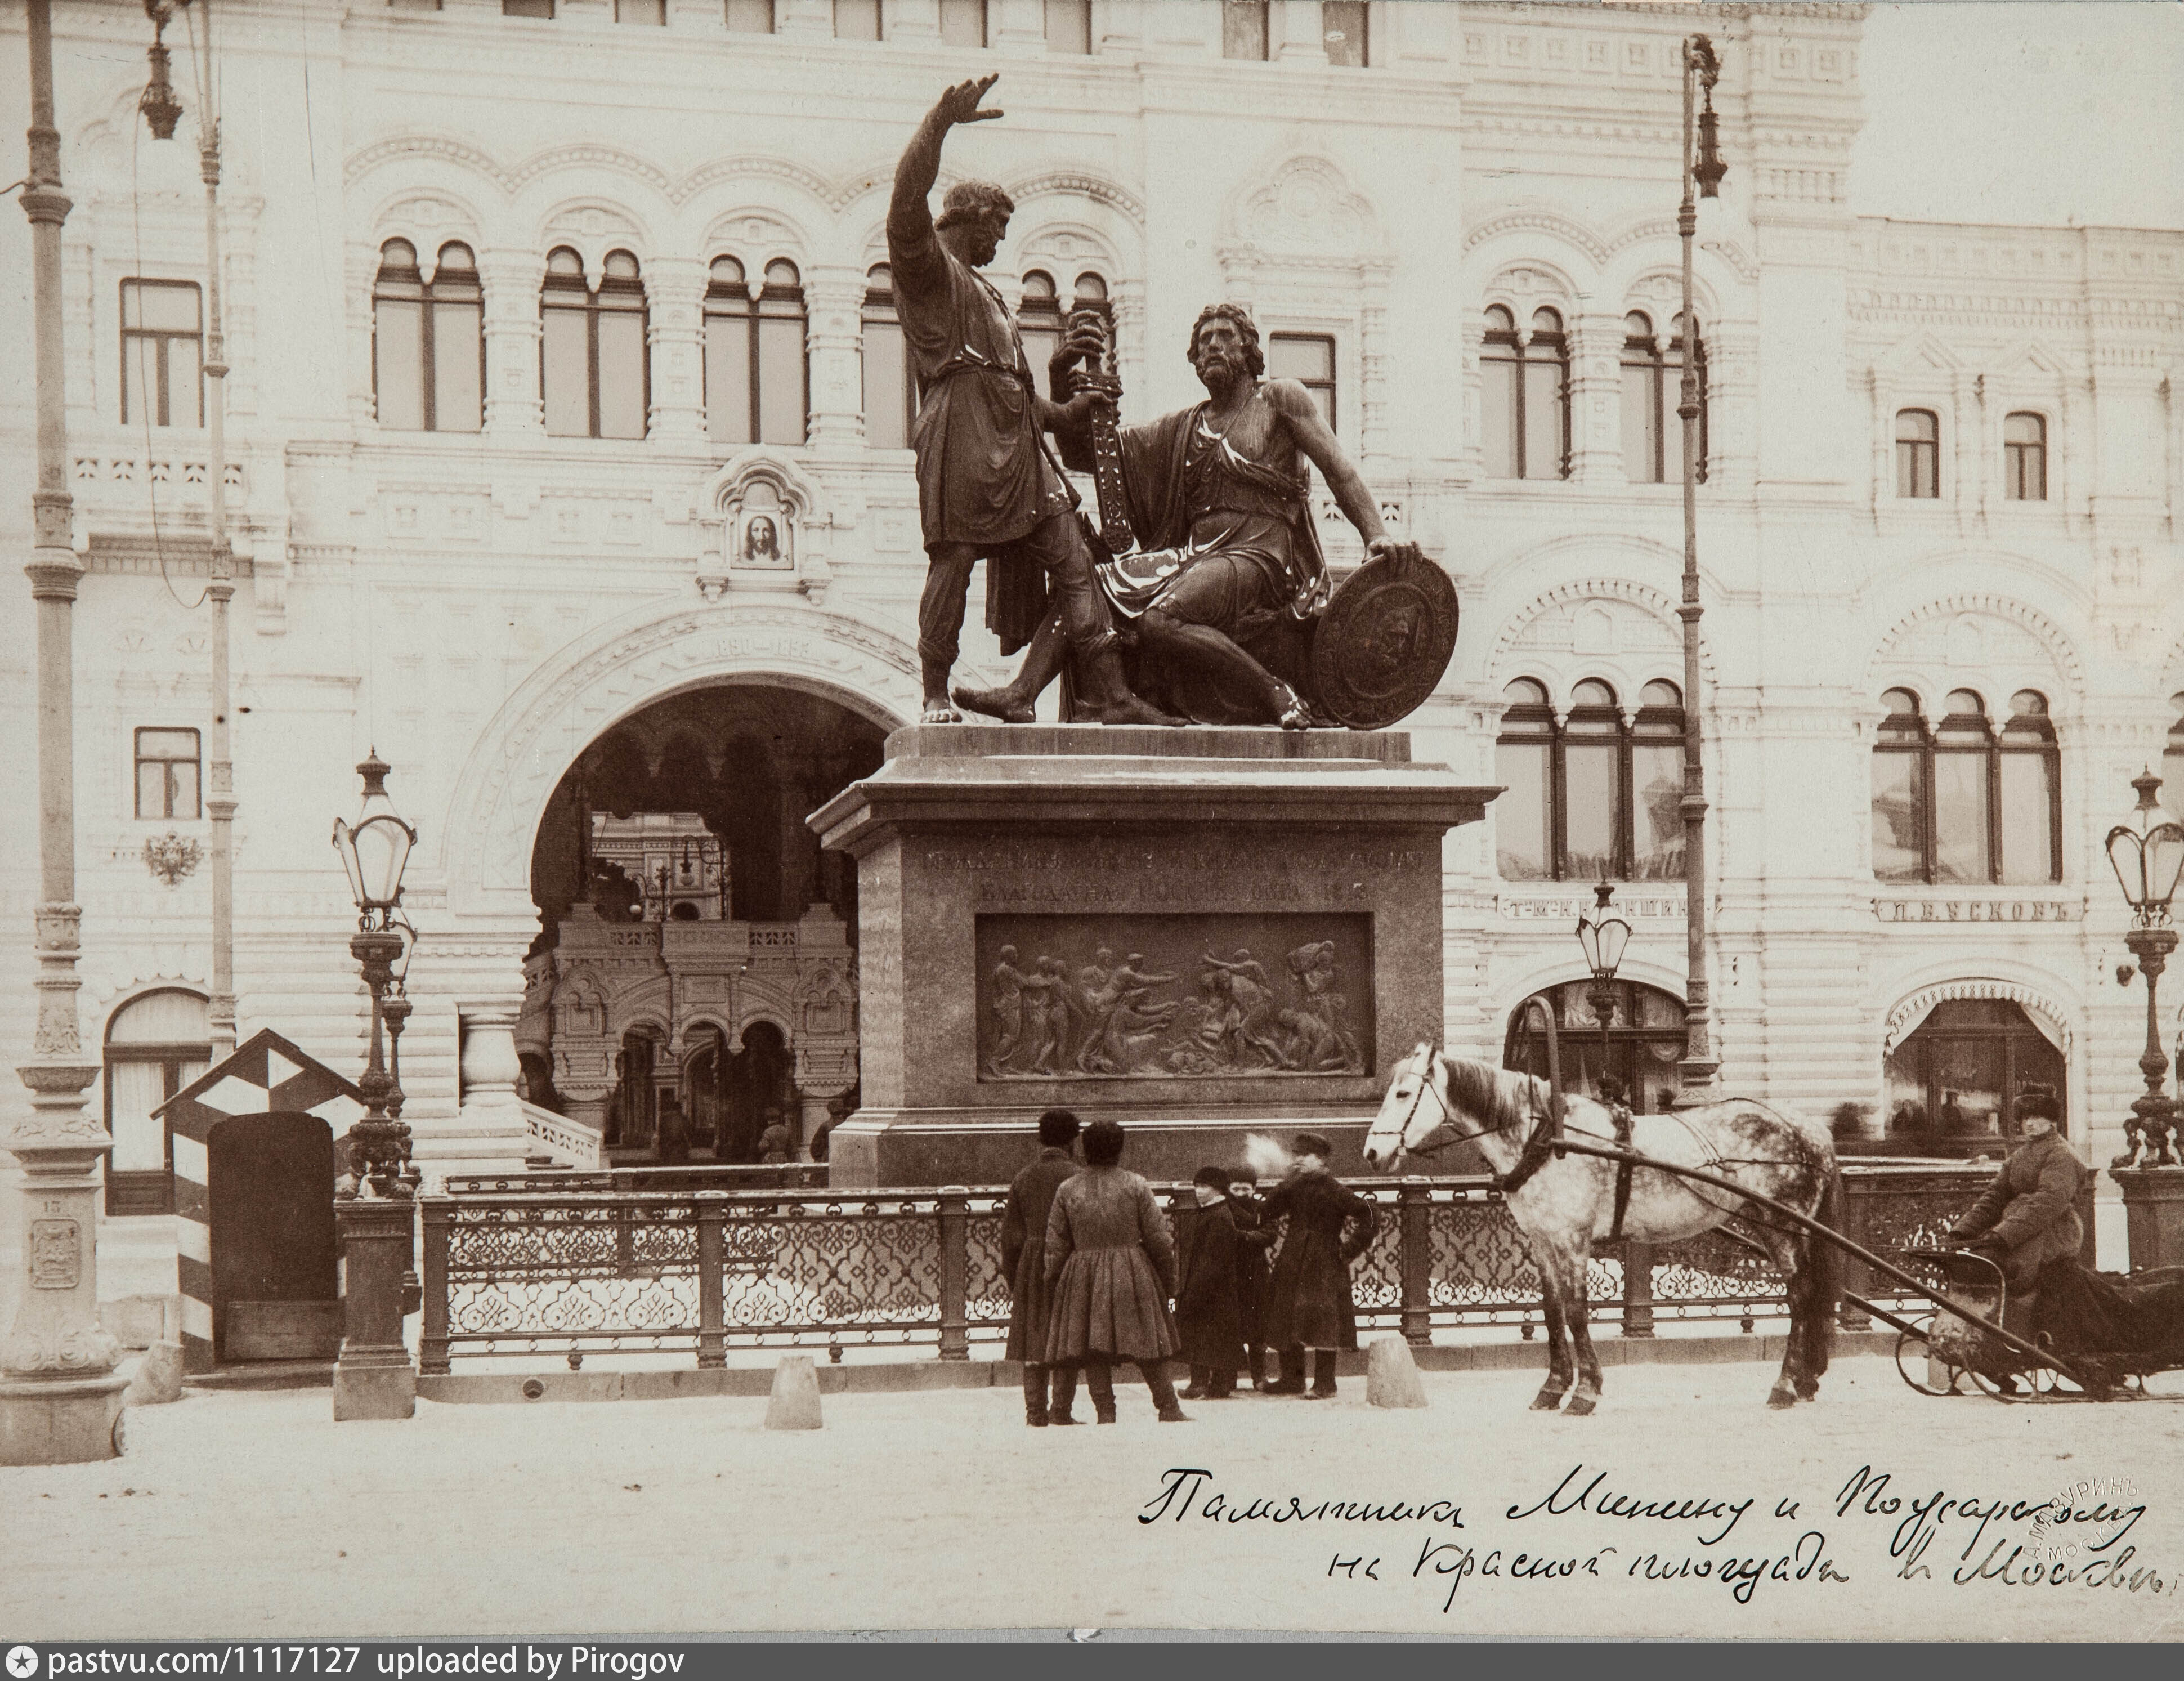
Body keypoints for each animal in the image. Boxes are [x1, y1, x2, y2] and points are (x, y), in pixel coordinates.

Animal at [1363, 1039, 1843, 1406]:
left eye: (1403, 1094)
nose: (1371, 1152)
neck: (1546, 1138)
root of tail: (1812, 1129)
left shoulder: (1573, 1241)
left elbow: (1577, 1313)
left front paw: (1585, 1390)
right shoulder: (1543, 1243)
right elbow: (1553, 1313)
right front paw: (1553, 1387)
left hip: (1784, 1226)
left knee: (1801, 1296)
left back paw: (1786, 1384)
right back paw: (1805, 1379)